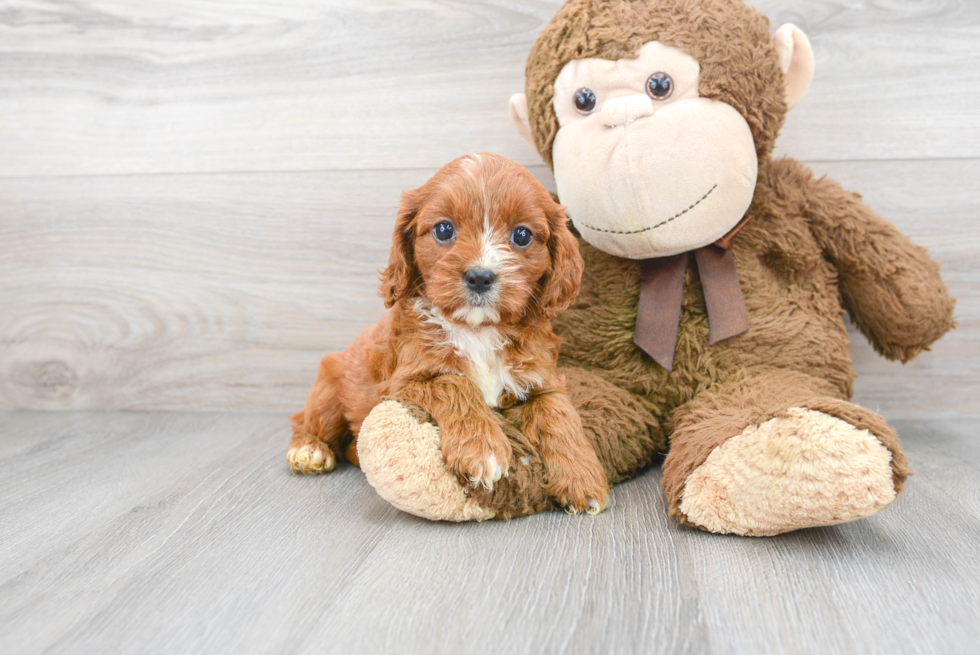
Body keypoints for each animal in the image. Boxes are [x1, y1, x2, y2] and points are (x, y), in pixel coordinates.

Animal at [288, 152, 608, 512]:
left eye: (522, 235)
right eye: (444, 229)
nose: (480, 276)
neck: (478, 329)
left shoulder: (542, 378)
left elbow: (559, 412)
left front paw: (582, 477)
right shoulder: (405, 380)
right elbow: (455, 383)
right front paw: (483, 450)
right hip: (329, 388)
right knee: (308, 420)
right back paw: (308, 450)